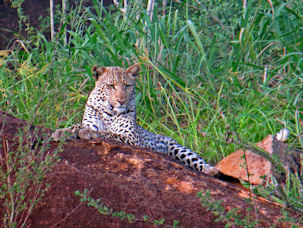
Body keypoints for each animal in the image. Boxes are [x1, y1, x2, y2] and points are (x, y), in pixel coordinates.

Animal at [51, 64, 218, 176]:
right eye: (111, 86)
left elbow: (109, 133)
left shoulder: (131, 137)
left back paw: (212, 171)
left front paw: (87, 132)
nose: (121, 101)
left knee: (197, 160)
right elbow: (76, 125)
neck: (110, 113)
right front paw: (63, 131)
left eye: (127, 86)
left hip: (178, 148)